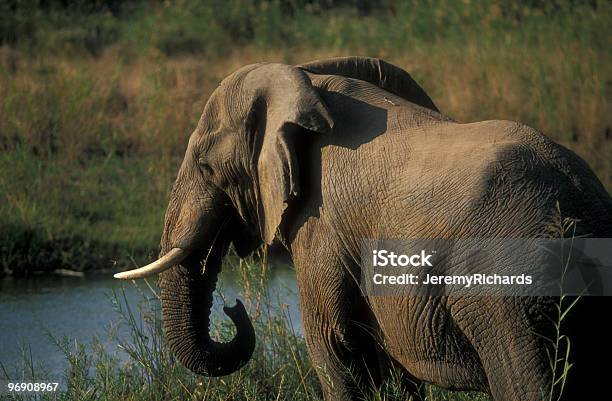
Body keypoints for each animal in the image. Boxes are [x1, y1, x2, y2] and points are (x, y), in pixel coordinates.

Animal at [116, 57, 612, 400]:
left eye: (205, 165)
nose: (234, 307)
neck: (307, 80)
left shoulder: (323, 226)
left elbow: (334, 347)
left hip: (510, 296)